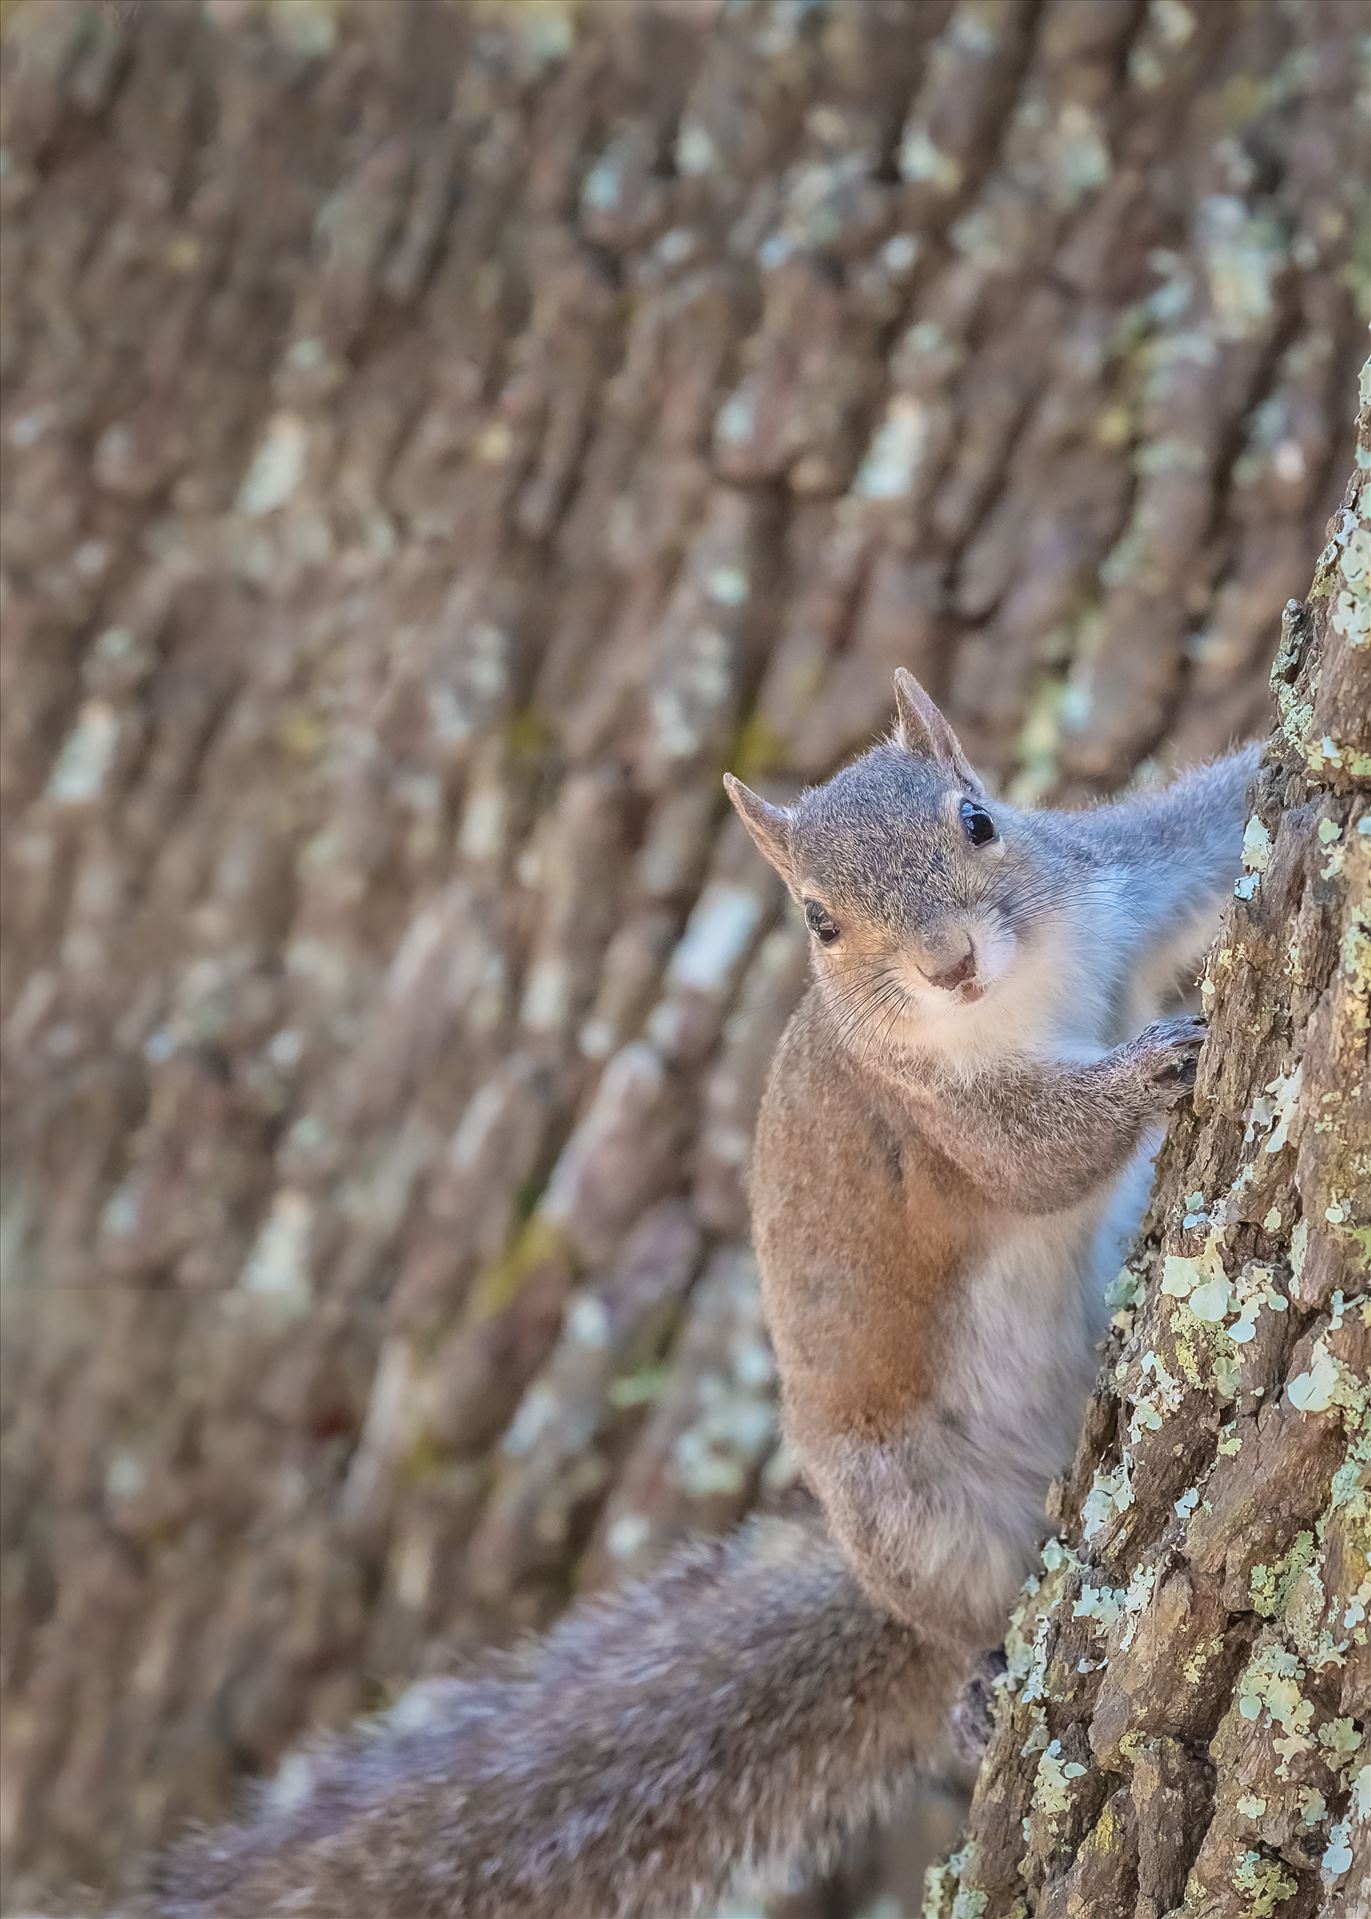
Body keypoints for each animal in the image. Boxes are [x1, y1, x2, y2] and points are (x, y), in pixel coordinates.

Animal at [136, 667, 1251, 1911]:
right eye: (819, 918)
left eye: (978, 819)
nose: (950, 963)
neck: (1012, 1001)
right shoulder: (931, 1116)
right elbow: (1039, 1157)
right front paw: (1151, 1068)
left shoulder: (1115, 884)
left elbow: (1208, 828)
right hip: (907, 1503)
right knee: (963, 1608)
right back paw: (976, 1676)